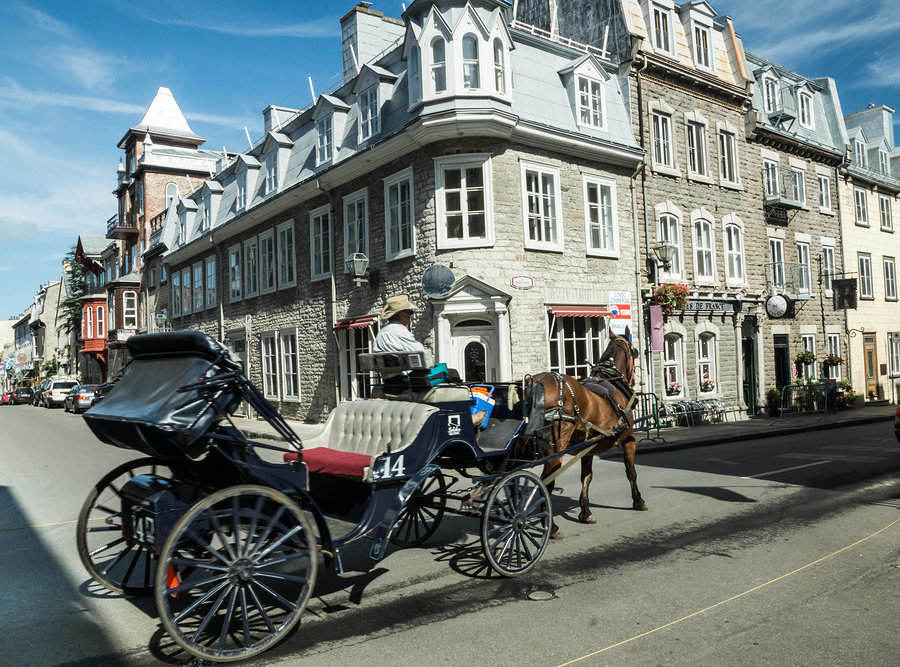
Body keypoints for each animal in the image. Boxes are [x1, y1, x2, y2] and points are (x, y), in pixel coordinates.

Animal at [520, 328, 648, 536]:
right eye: (634, 351)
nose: (635, 379)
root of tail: (536, 382)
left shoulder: (587, 447)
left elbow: (586, 477)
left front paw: (585, 511)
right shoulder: (628, 438)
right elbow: (631, 471)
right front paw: (638, 500)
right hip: (556, 450)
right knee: (546, 483)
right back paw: (551, 526)